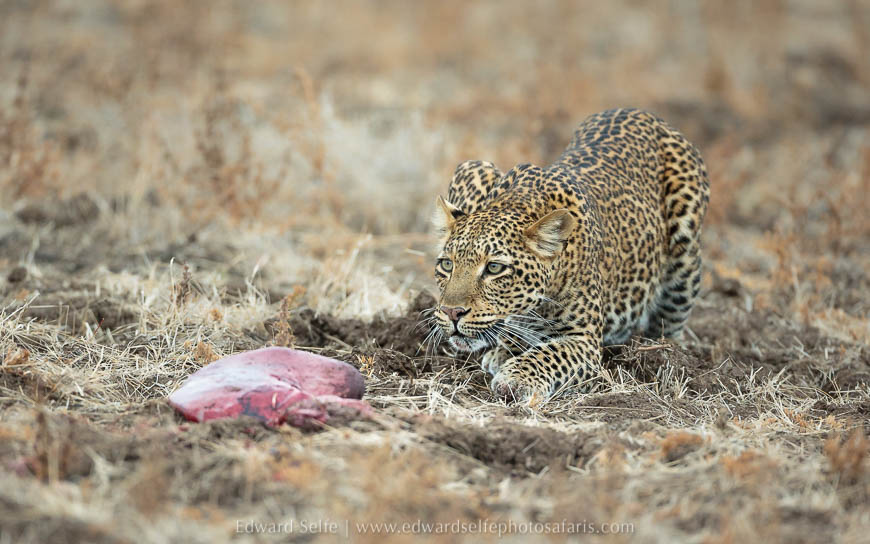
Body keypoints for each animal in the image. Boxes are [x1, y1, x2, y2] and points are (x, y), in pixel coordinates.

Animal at [430, 108, 710, 403]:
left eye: (494, 268)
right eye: (447, 264)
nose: (451, 312)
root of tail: (639, 112)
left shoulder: (584, 341)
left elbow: (549, 355)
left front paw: (515, 377)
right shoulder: (470, 167)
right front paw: (505, 350)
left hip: (685, 254)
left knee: (671, 317)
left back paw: (667, 355)